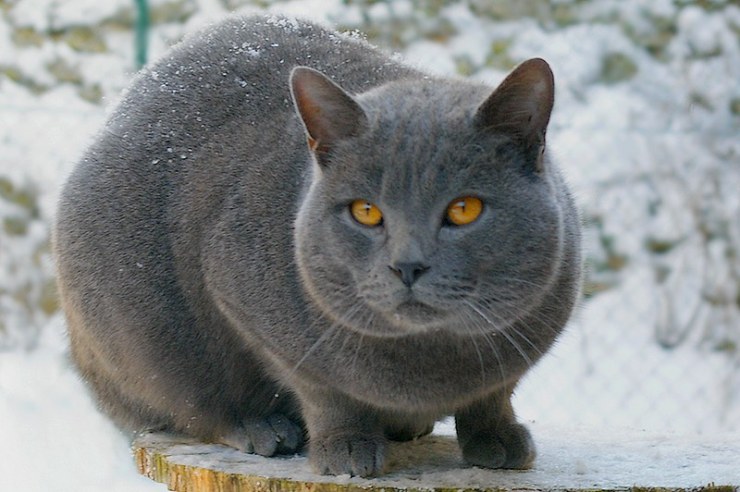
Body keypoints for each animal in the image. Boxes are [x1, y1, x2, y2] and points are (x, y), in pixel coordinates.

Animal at [55, 14, 580, 476]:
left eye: (464, 209)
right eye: (365, 211)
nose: (407, 266)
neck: (430, 358)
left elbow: (495, 393)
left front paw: (497, 436)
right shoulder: (244, 305)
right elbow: (320, 389)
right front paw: (345, 447)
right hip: (141, 334)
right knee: (193, 404)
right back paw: (263, 428)